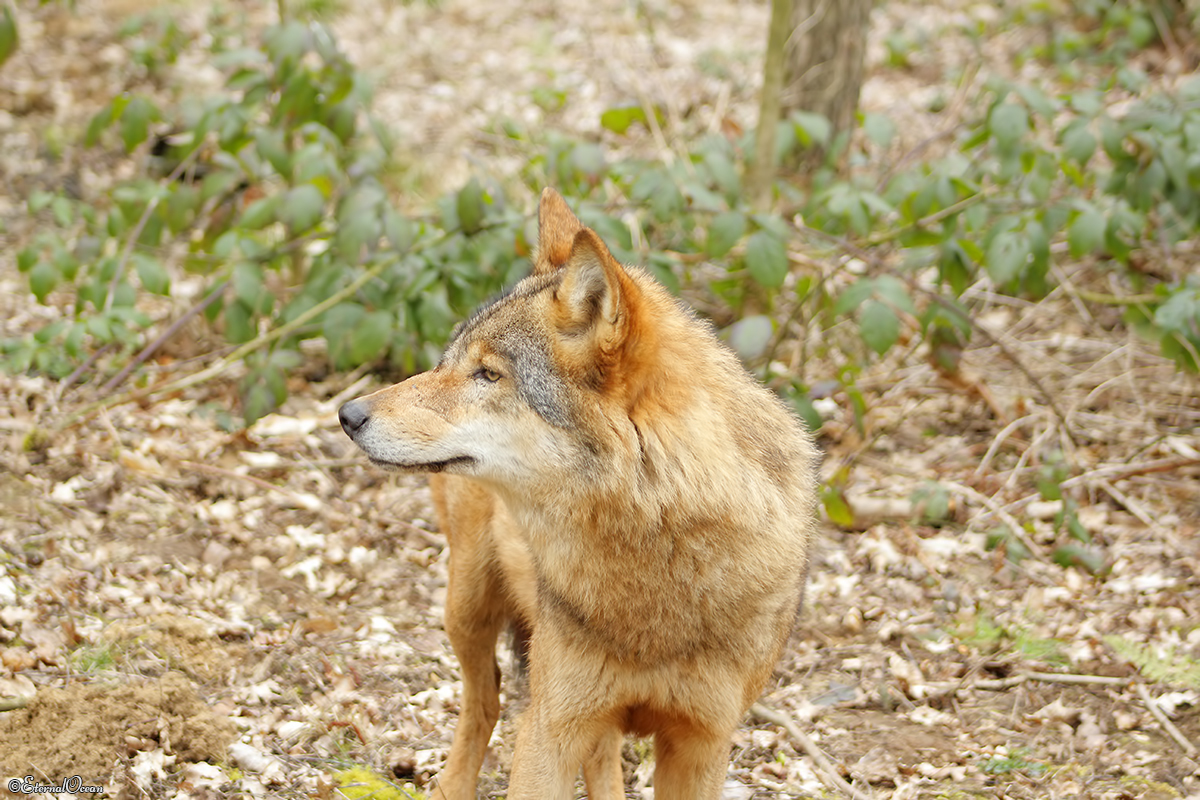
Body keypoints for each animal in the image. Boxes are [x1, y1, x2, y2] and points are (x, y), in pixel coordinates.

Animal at [338, 188, 818, 799]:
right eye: (451, 362)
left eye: (488, 374)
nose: (348, 414)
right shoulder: (551, 729)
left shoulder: (702, 745)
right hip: (467, 609)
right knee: (484, 704)